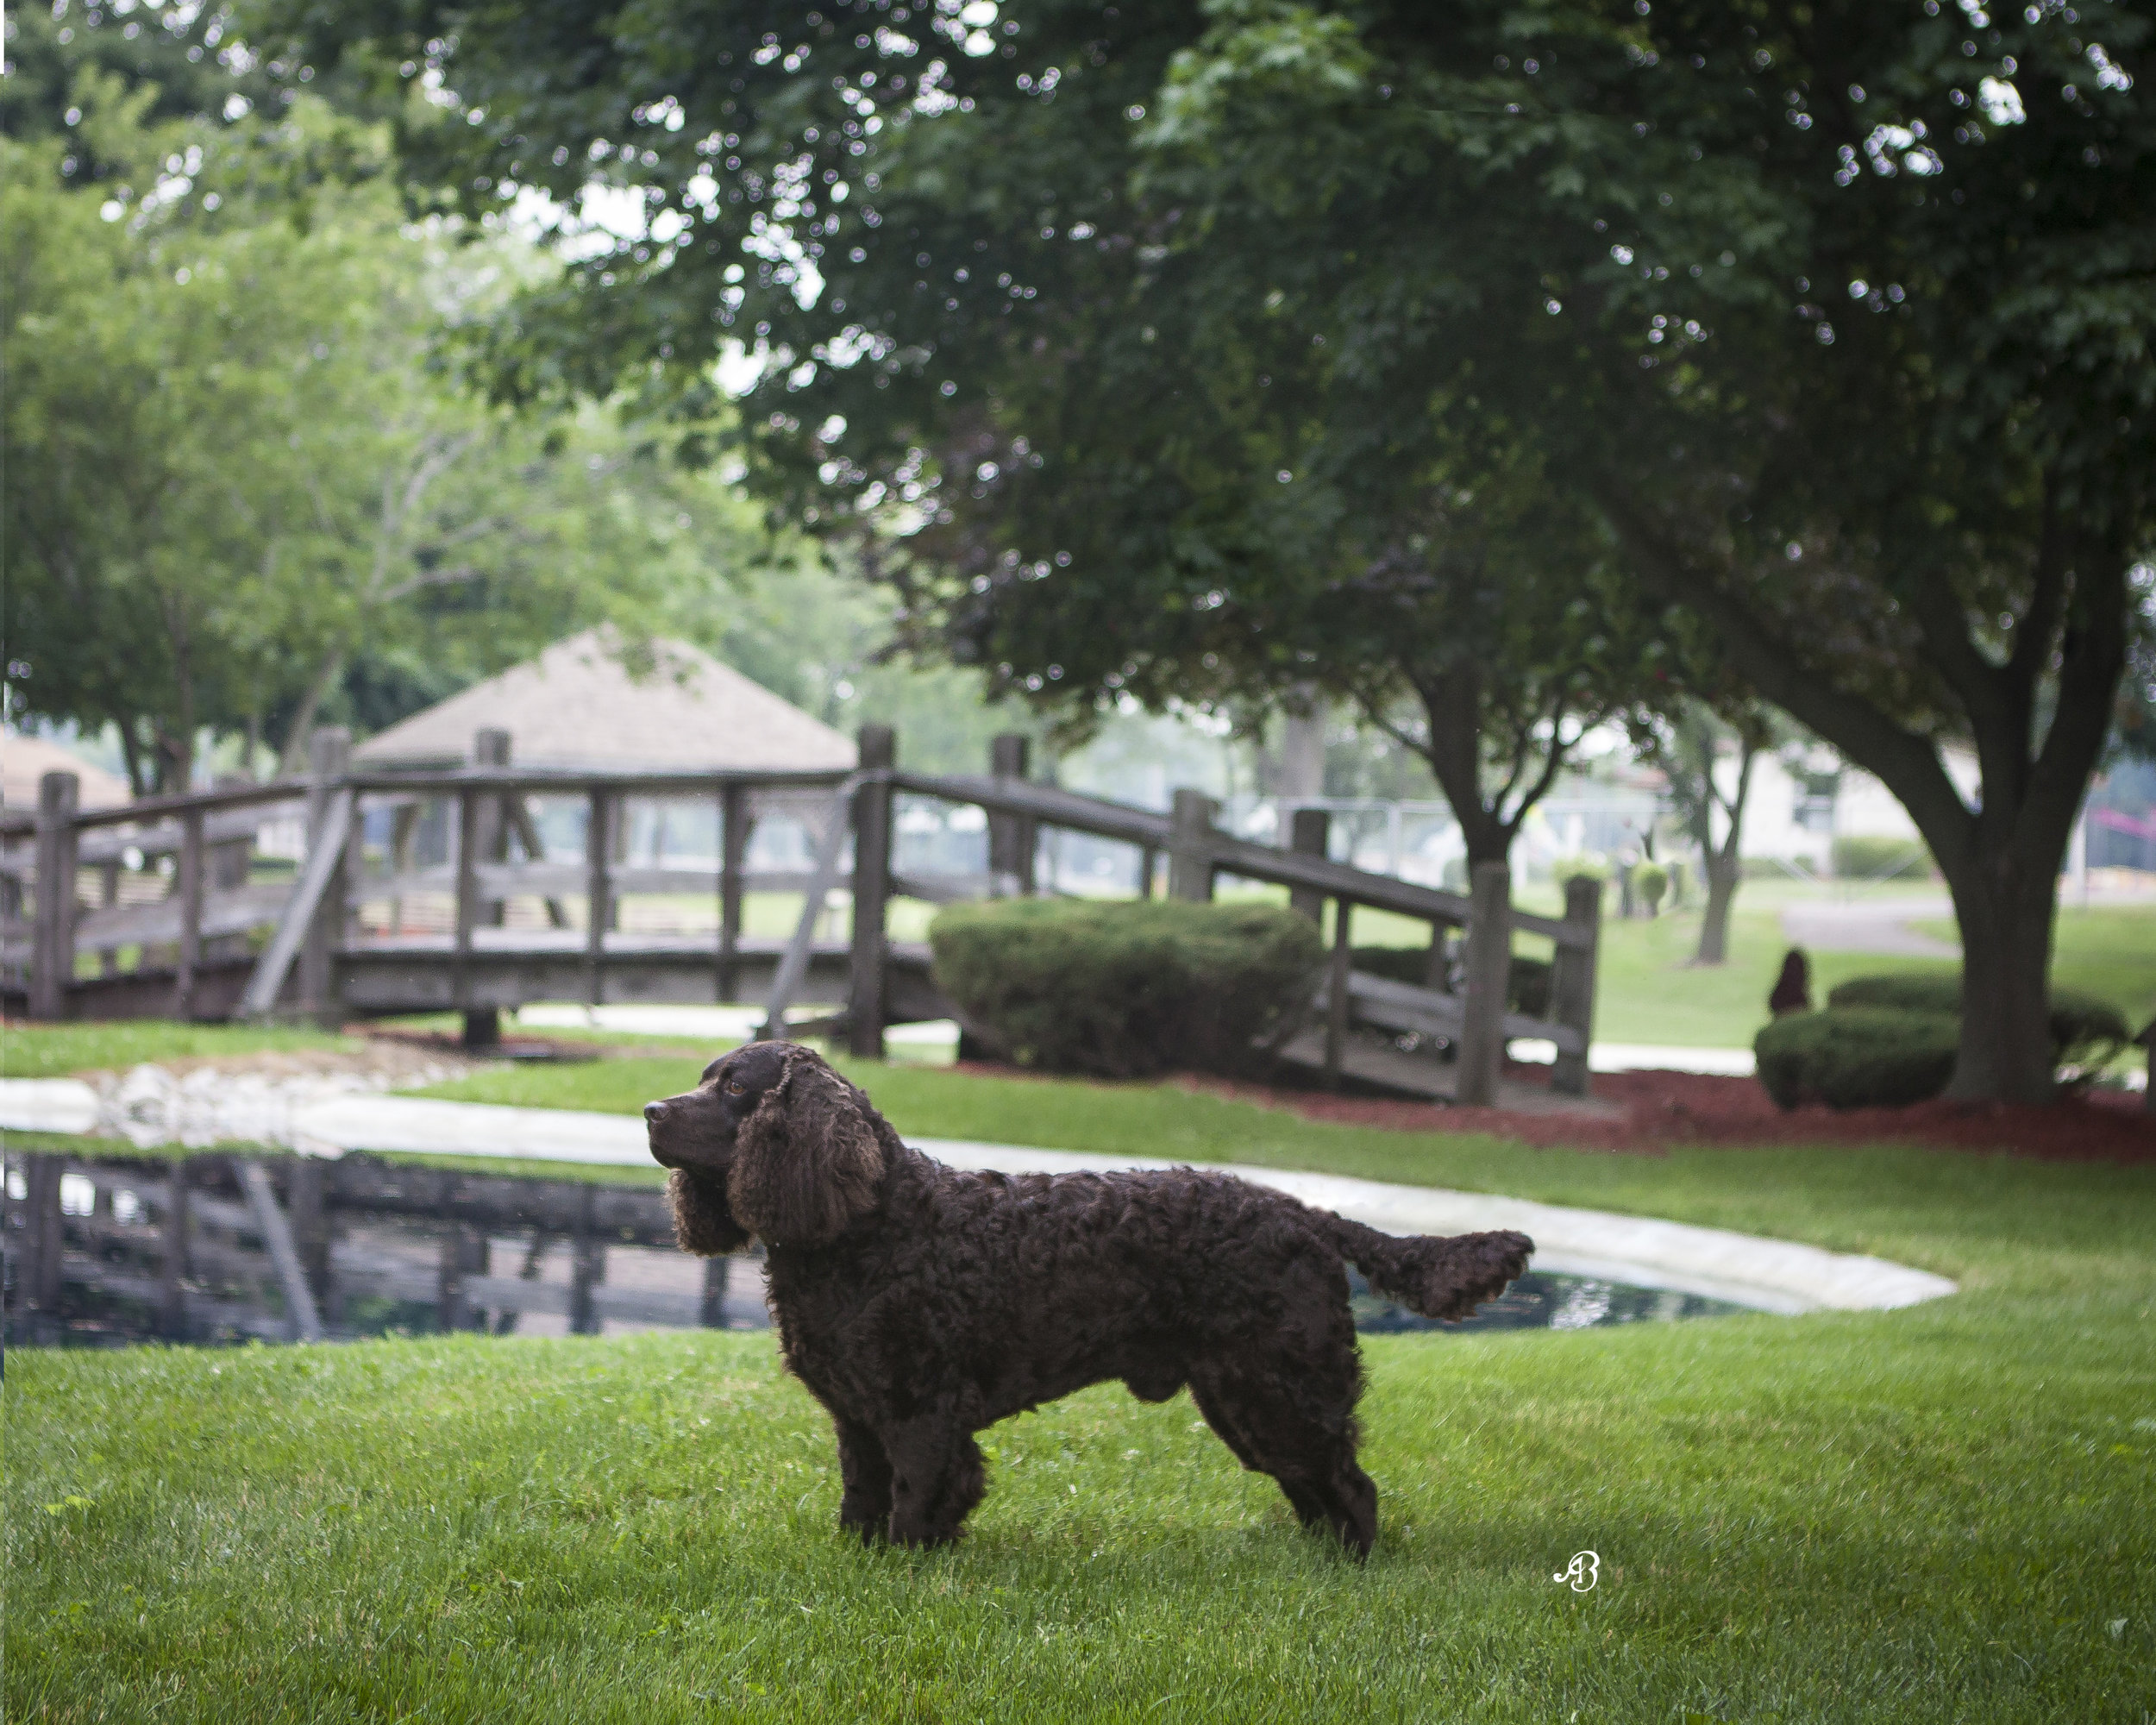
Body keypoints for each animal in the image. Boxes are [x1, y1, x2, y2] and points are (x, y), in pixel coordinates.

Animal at [638, 1039, 1535, 1561]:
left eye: (734, 1089)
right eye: (702, 1080)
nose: (648, 1110)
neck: (872, 1226)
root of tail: (1307, 1215)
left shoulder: (921, 1410)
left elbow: (915, 1502)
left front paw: (906, 1577)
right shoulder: (857, 1415)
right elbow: (861, 1500)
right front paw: (858, 1568)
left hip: (1279, 1384)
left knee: (1353, 1487)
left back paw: (1352, 1572)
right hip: (1247, 1398)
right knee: (1316, 1487)